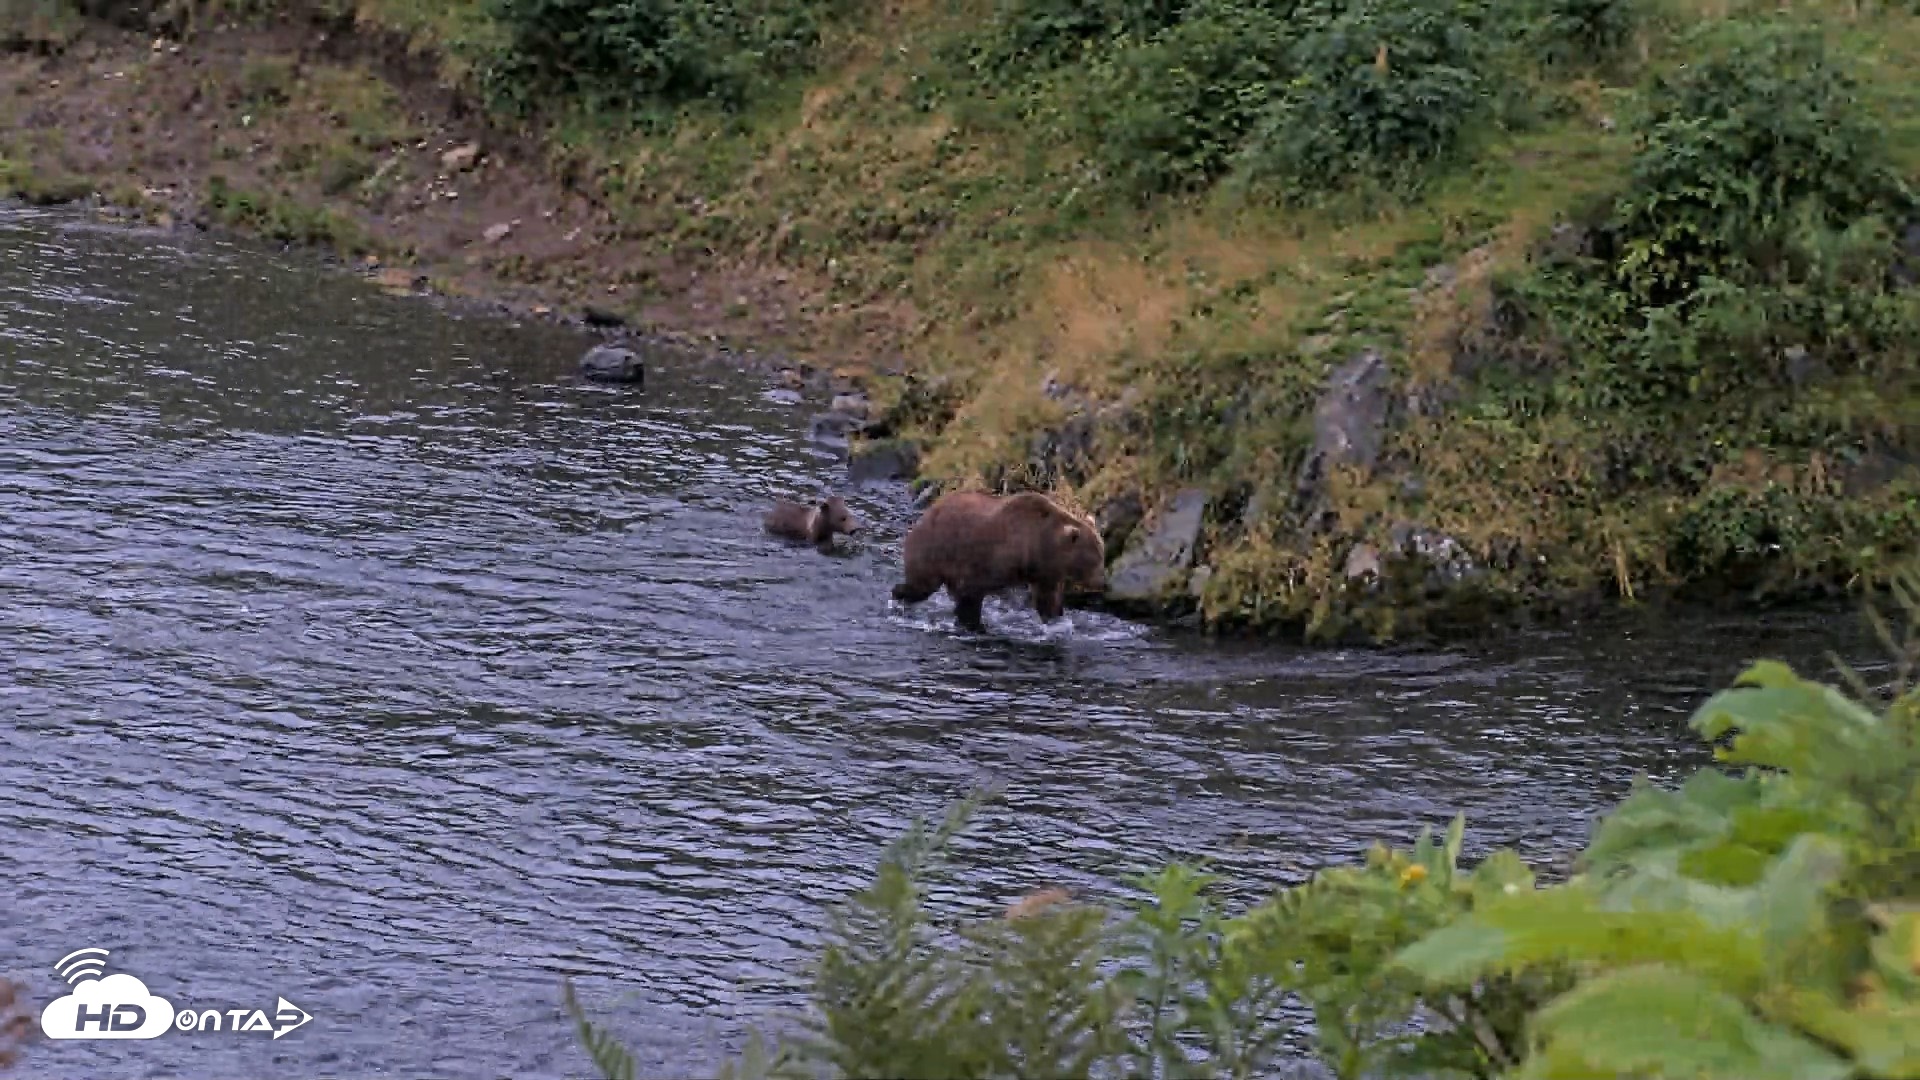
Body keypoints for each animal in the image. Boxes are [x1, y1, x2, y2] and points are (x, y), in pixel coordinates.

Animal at [890, 490, 1107, 633]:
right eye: (1094, 558)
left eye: (1102, 554)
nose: (1103, 583)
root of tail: (923, 517)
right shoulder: (991, 557)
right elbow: (971, 591)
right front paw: (971, 622)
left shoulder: (1045, 573)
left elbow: (1048, 598)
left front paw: (1055, 618)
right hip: (933, 549)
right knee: (921, 584)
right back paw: (898, 596)